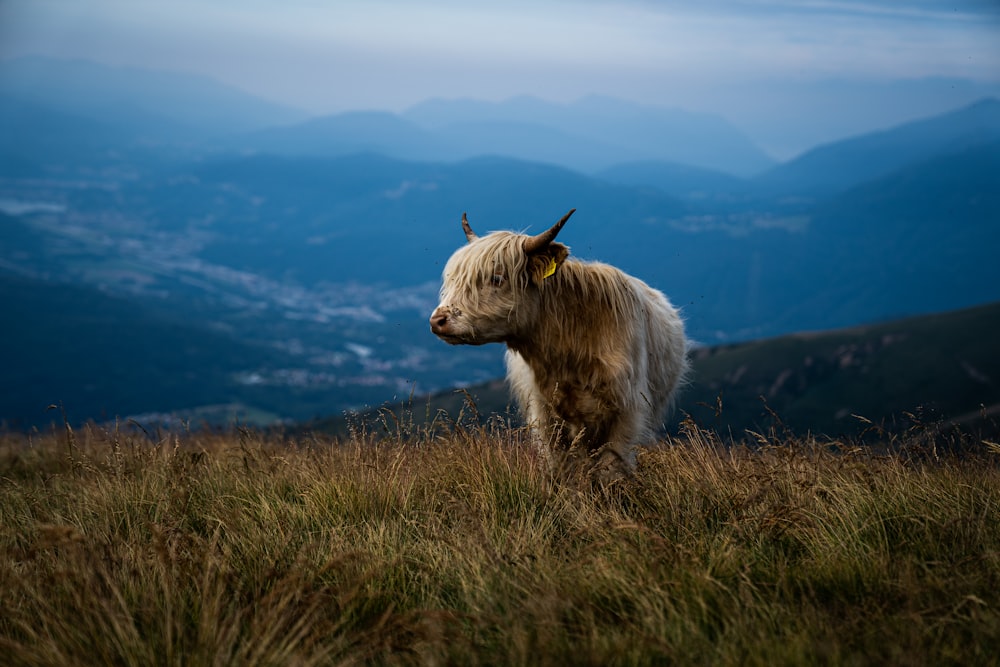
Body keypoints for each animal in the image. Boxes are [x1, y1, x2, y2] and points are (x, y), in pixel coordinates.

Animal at [430, 207, 688, 480]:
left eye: (497, 278)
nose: (438, 320)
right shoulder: (545, 418)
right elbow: (562, 470)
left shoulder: (628, 413)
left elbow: (612, 470)